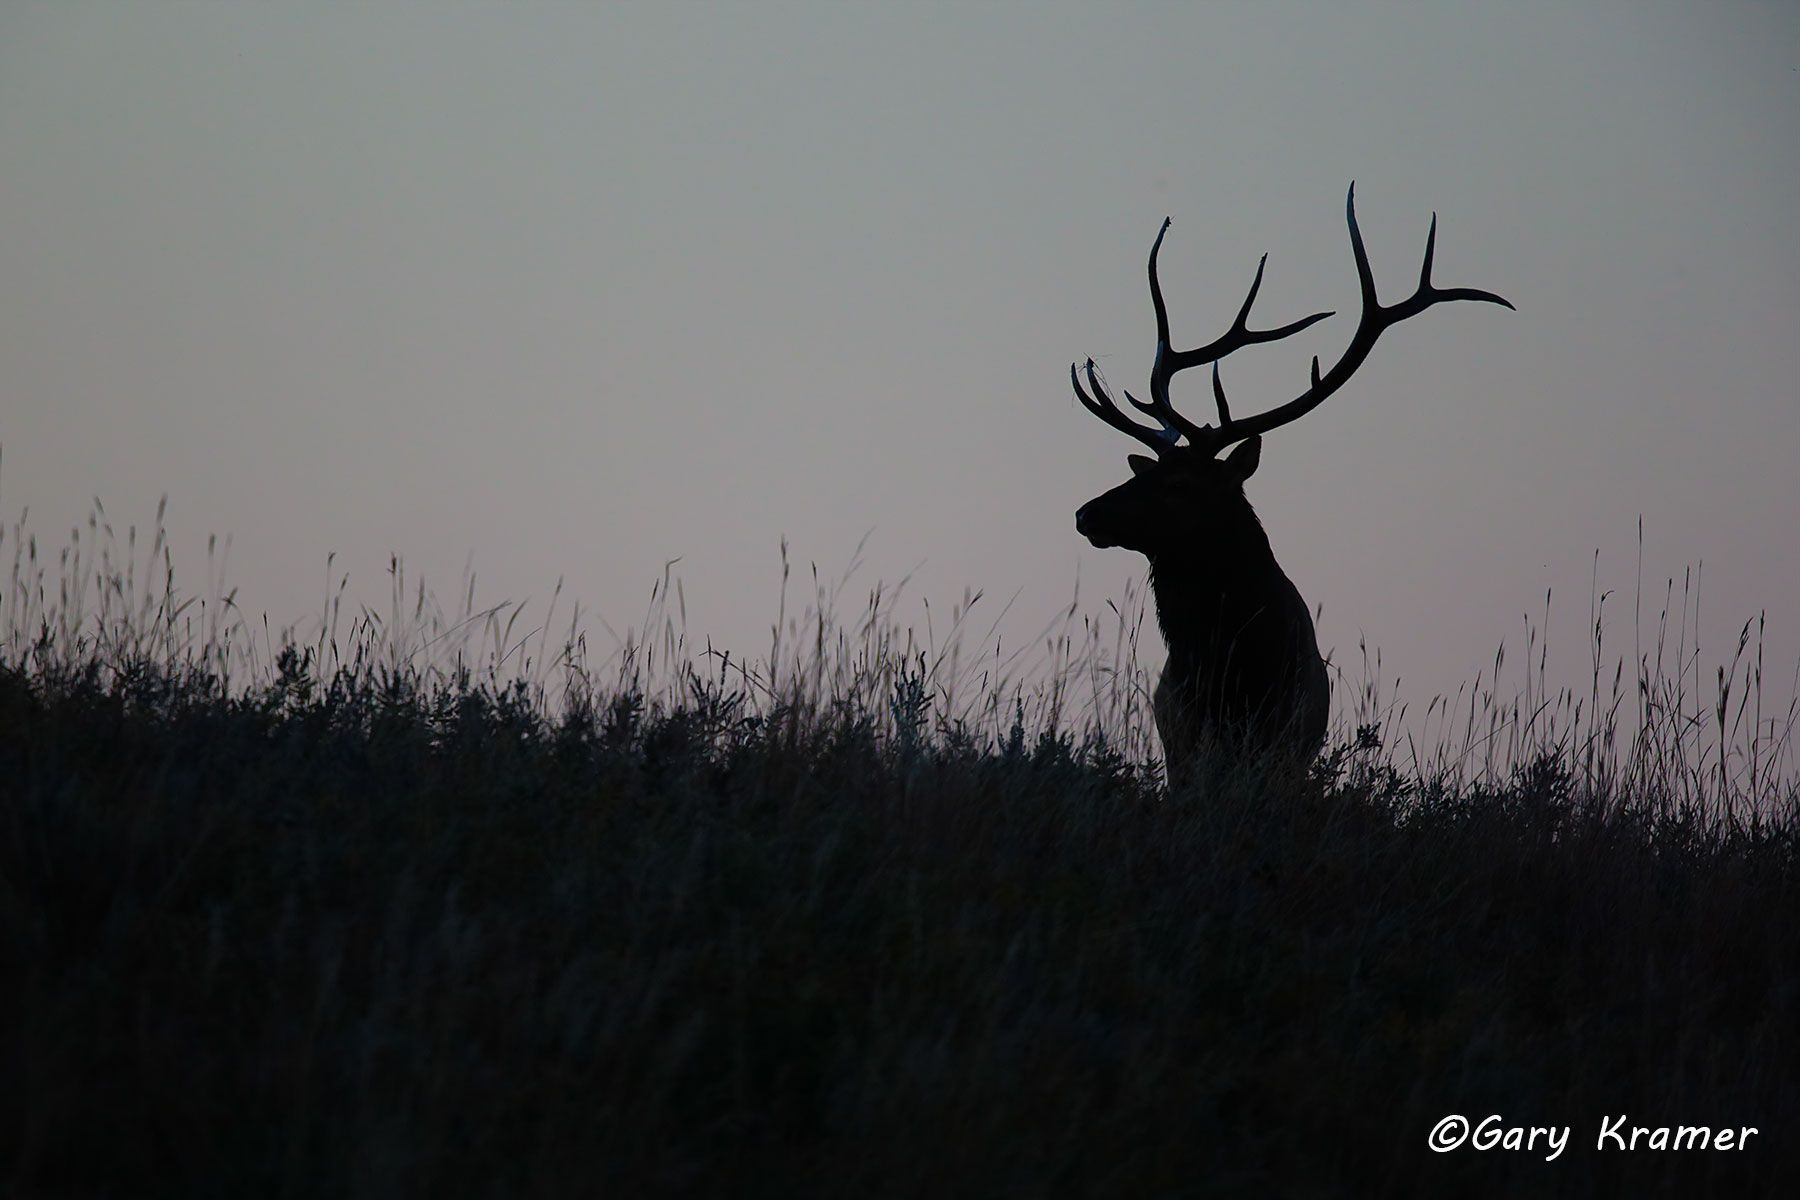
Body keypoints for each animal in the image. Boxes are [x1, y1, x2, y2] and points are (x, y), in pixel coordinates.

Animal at [1071, 185, 1510, 781]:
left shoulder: (1287, 747)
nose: (1086, 513)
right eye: (1147, 472)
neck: (1236, 674)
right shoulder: (1183, 748)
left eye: (1180, 485)